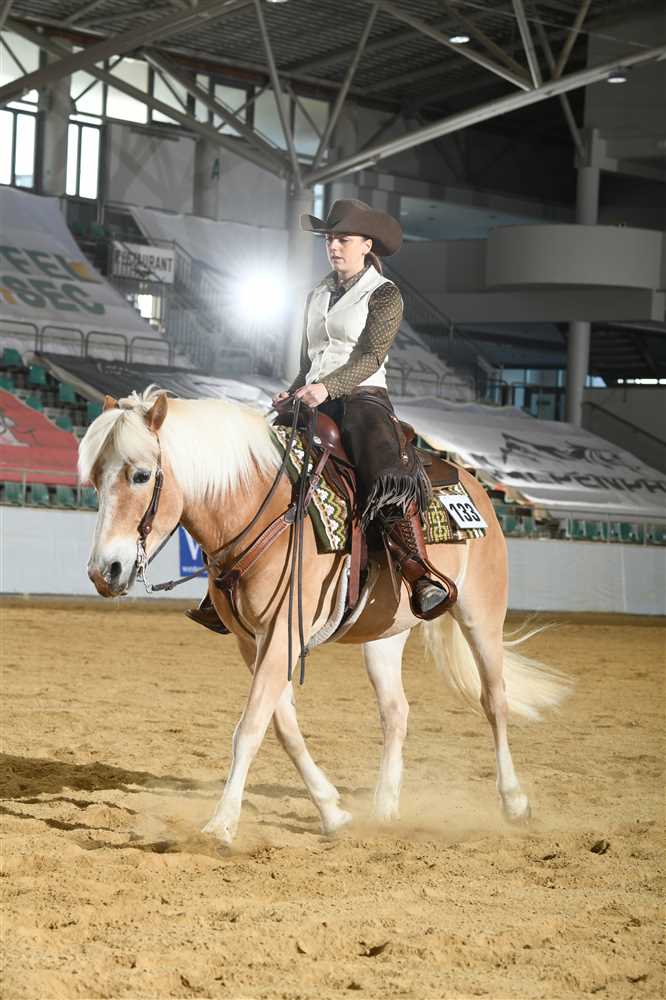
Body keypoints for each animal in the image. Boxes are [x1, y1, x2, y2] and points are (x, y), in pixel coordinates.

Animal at [79, 387, 569, 845]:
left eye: (141, 475)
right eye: (96, 480)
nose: (105, 571)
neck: (262, 507)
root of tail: (474, 481)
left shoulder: (282, 633)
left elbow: (250, 726)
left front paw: (221, 825)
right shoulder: (252, 642)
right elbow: (283, 727)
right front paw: (332, 811)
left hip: (481, 614)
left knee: (494, 701)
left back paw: (514, 801)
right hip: (385, 634)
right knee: (396, 711)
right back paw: (385, 807)